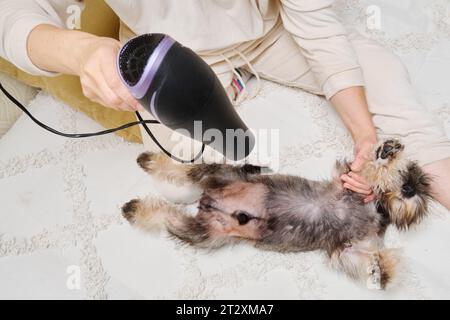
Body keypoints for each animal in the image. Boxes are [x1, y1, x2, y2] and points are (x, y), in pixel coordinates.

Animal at [121, 139, 430, 288]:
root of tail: (208, 202)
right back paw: (148, 167)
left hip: (203, 233)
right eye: (410, 174)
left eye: (419, 184)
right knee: (184, 173)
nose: (410, 188)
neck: (375, 210)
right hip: (218, 177)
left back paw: (136, 204)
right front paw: (387, 154)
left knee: (169, 213)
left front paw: (380, 270)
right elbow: (369, 172)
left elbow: (362, 261)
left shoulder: (347, 249)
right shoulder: (348, 182)